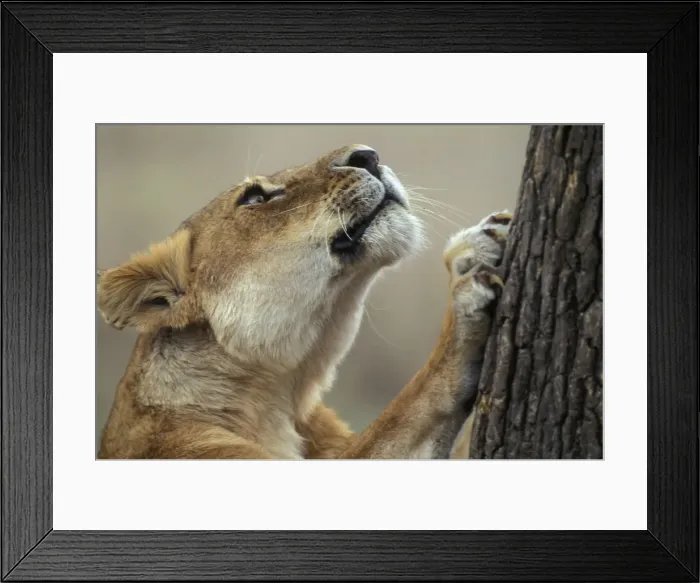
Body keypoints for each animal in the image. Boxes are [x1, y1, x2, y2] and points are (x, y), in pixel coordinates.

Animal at [97, 144, 510, 459]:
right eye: (255, 197)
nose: (368, 155)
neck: (282, 398)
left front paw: (479, 247)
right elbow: (408, 408)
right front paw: (465, 292)